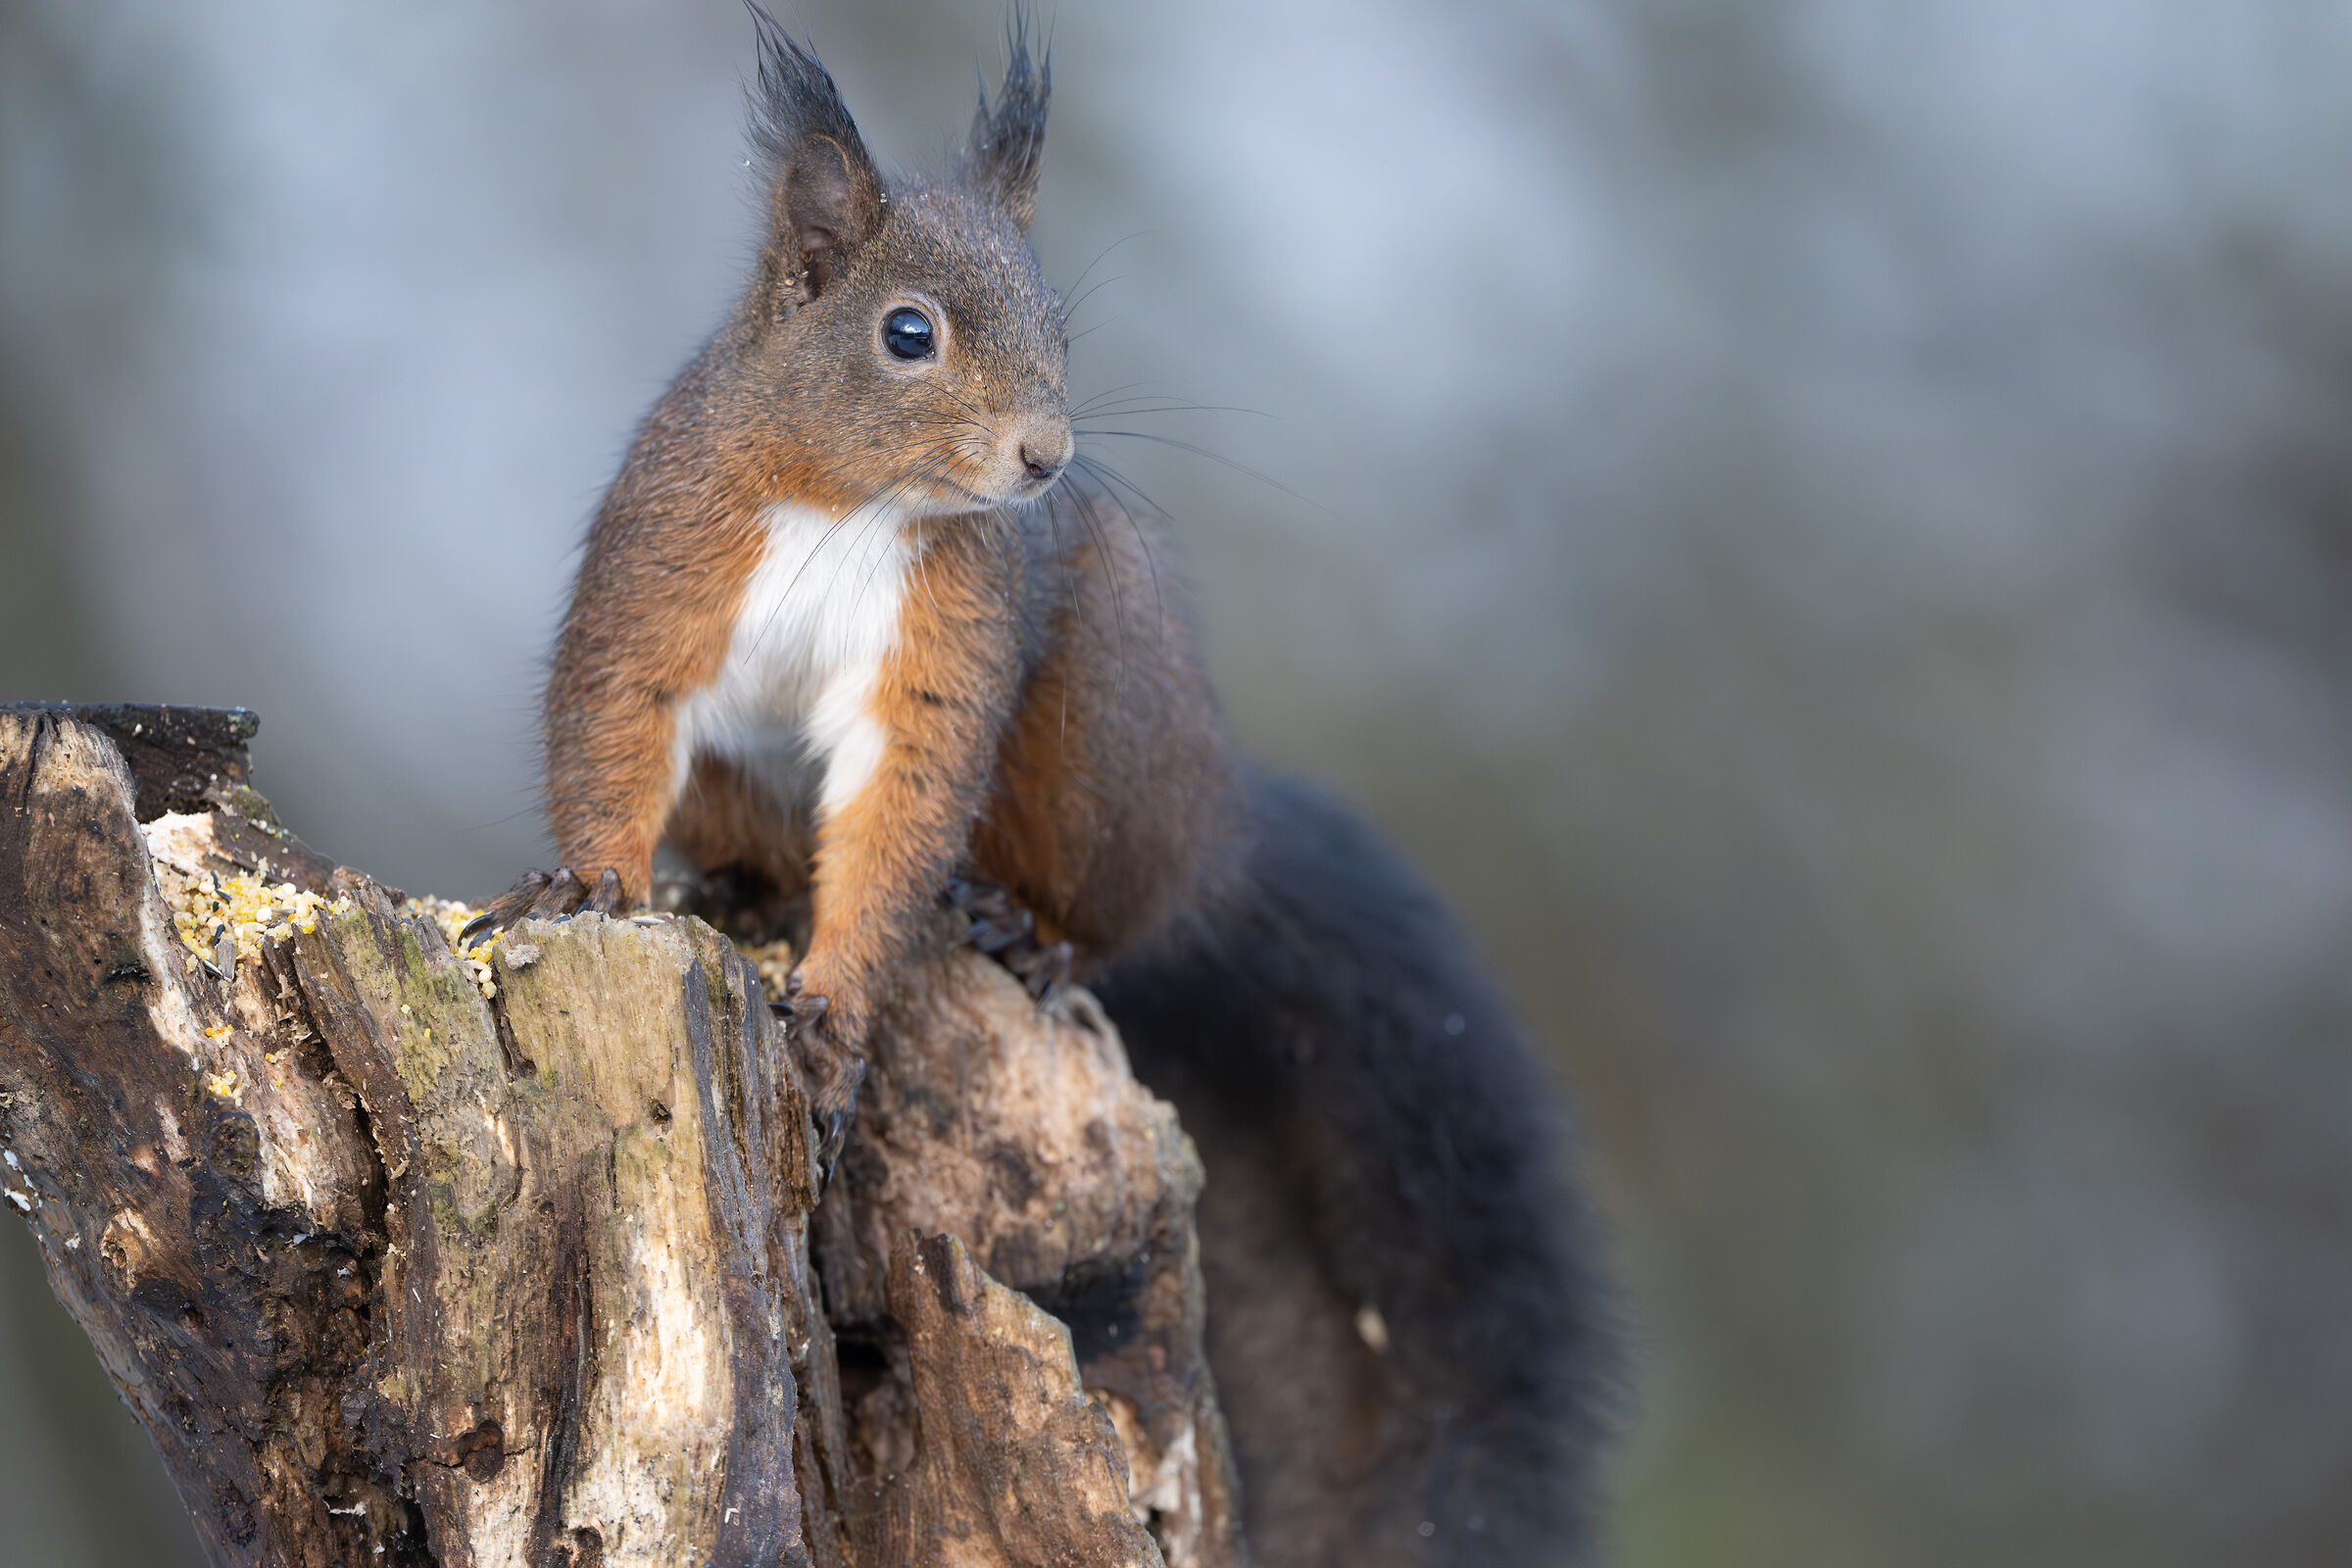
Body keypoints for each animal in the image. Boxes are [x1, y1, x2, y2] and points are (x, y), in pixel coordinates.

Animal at [467, 12, 1617, 1563]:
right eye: (908, 333)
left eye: (1061, 327)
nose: (1046, 458)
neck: (852, 504)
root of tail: (1217, 824)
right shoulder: (664, 560)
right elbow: (615, 717)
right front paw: (589, 881)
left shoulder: (953, 635)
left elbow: (902, 812)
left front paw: (835, 1012)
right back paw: (730, 882)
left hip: (1101, 740)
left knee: (1114, 908)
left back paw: (1033, 930)